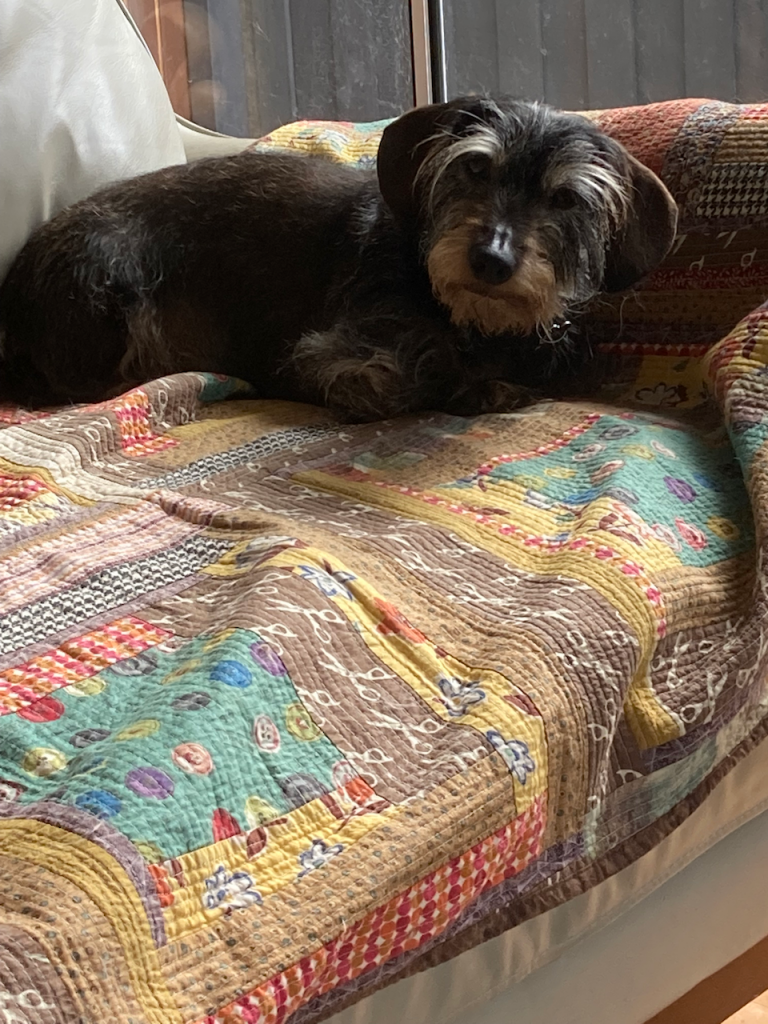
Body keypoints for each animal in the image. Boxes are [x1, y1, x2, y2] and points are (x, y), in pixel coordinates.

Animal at [0, 94, 679, 417]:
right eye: (475, 168)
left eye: (564, 198)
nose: (491, 259)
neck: (468, 323)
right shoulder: (334, 358)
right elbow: (394, 377)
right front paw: (473, 387)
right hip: (106, 275)